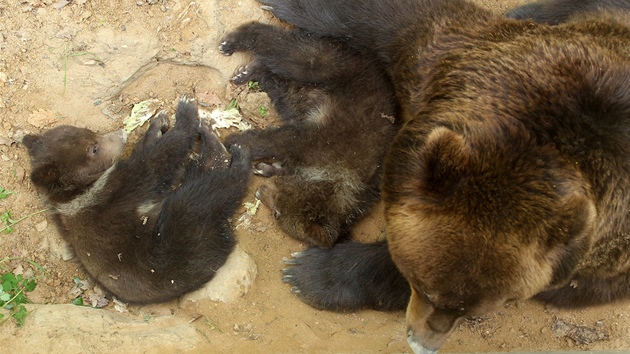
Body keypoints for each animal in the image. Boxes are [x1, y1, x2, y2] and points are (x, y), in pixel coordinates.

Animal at [260, 0, 630, 352]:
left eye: (476, 309)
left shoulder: (598, 254)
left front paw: (311, 273)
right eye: (425, 287)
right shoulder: (482, 68)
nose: (423, 344)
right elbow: (411, 26)